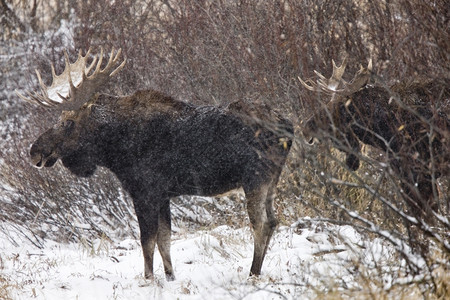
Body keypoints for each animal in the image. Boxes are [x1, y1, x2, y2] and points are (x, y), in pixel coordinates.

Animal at [15, 48, 292, 280]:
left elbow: (147, 241)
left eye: (67, 122)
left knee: (261, 224)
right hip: (272, 180)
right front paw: (170, 277)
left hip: (255, 178)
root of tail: (288, 128)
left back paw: (252, 273)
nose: (34, 151)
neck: (113, 150)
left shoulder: (144, 191)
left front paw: (148, 279)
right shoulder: (163, 195)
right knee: (273, 221)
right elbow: (164, 240)